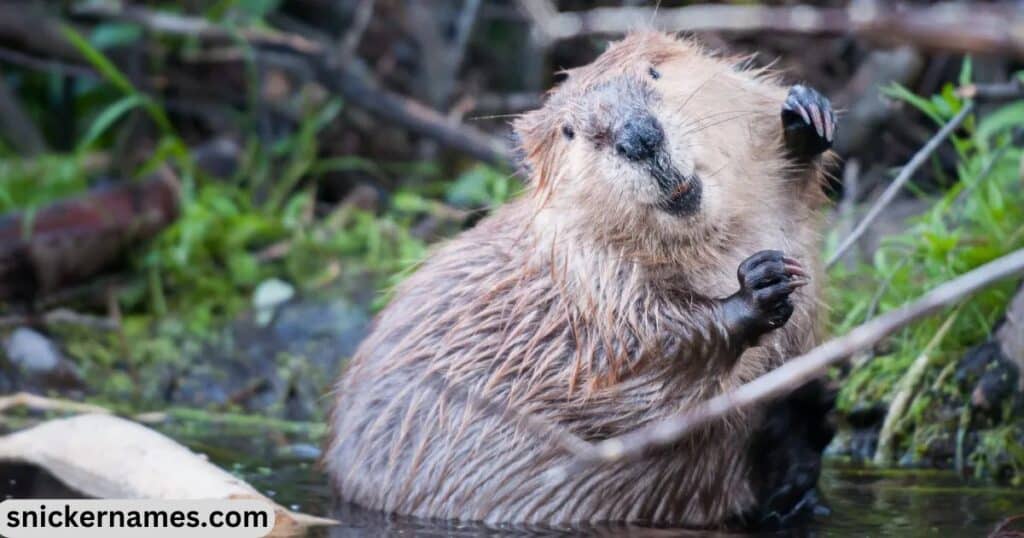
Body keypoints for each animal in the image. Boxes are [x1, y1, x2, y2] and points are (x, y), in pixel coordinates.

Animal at [323, 33, 835, 528]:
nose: (639, 137)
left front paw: (805, 116)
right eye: (570, 131)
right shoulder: (588, 284)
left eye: (654, 71)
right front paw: (759, 286)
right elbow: (636, 375)